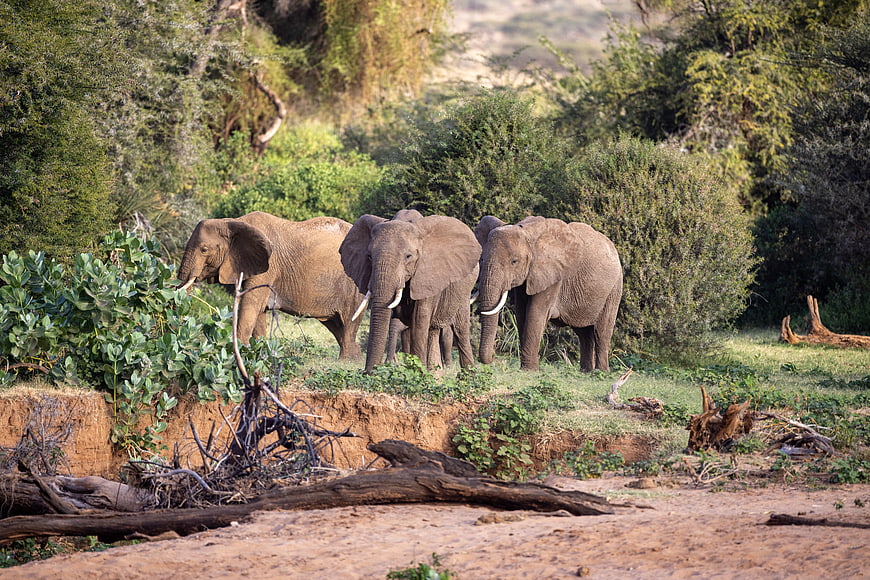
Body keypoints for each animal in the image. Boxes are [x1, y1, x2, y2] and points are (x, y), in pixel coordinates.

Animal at [177, 211, 364, 359]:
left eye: (204, 250)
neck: (232, 222)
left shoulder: (267, 266)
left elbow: (249, 306)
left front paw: (236, 354)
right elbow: (258, 312)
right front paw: (256, 352)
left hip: (354, 282)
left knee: (349, 322)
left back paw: (346, 361)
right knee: (336, 325)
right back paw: (356, 358)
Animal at [340, 210, 481, 373]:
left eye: (408, 256)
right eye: (369, 257)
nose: (369, 373)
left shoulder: (427, 276)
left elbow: (419, 320)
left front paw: (418, 372)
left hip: (464, 291)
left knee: (460, 330)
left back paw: (467, 374)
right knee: (431, 332)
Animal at [474, 216, 623, 371]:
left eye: (514, 261)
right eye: (482, 259)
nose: (493, 357)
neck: (527, 232)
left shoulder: (553, 276)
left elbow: (535, 314)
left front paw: (529, 370)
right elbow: (521, 314)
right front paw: (529, 368)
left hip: (614, 288)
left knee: (602, 332)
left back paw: (601, 372)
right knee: (584, 333)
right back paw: (586, 372)